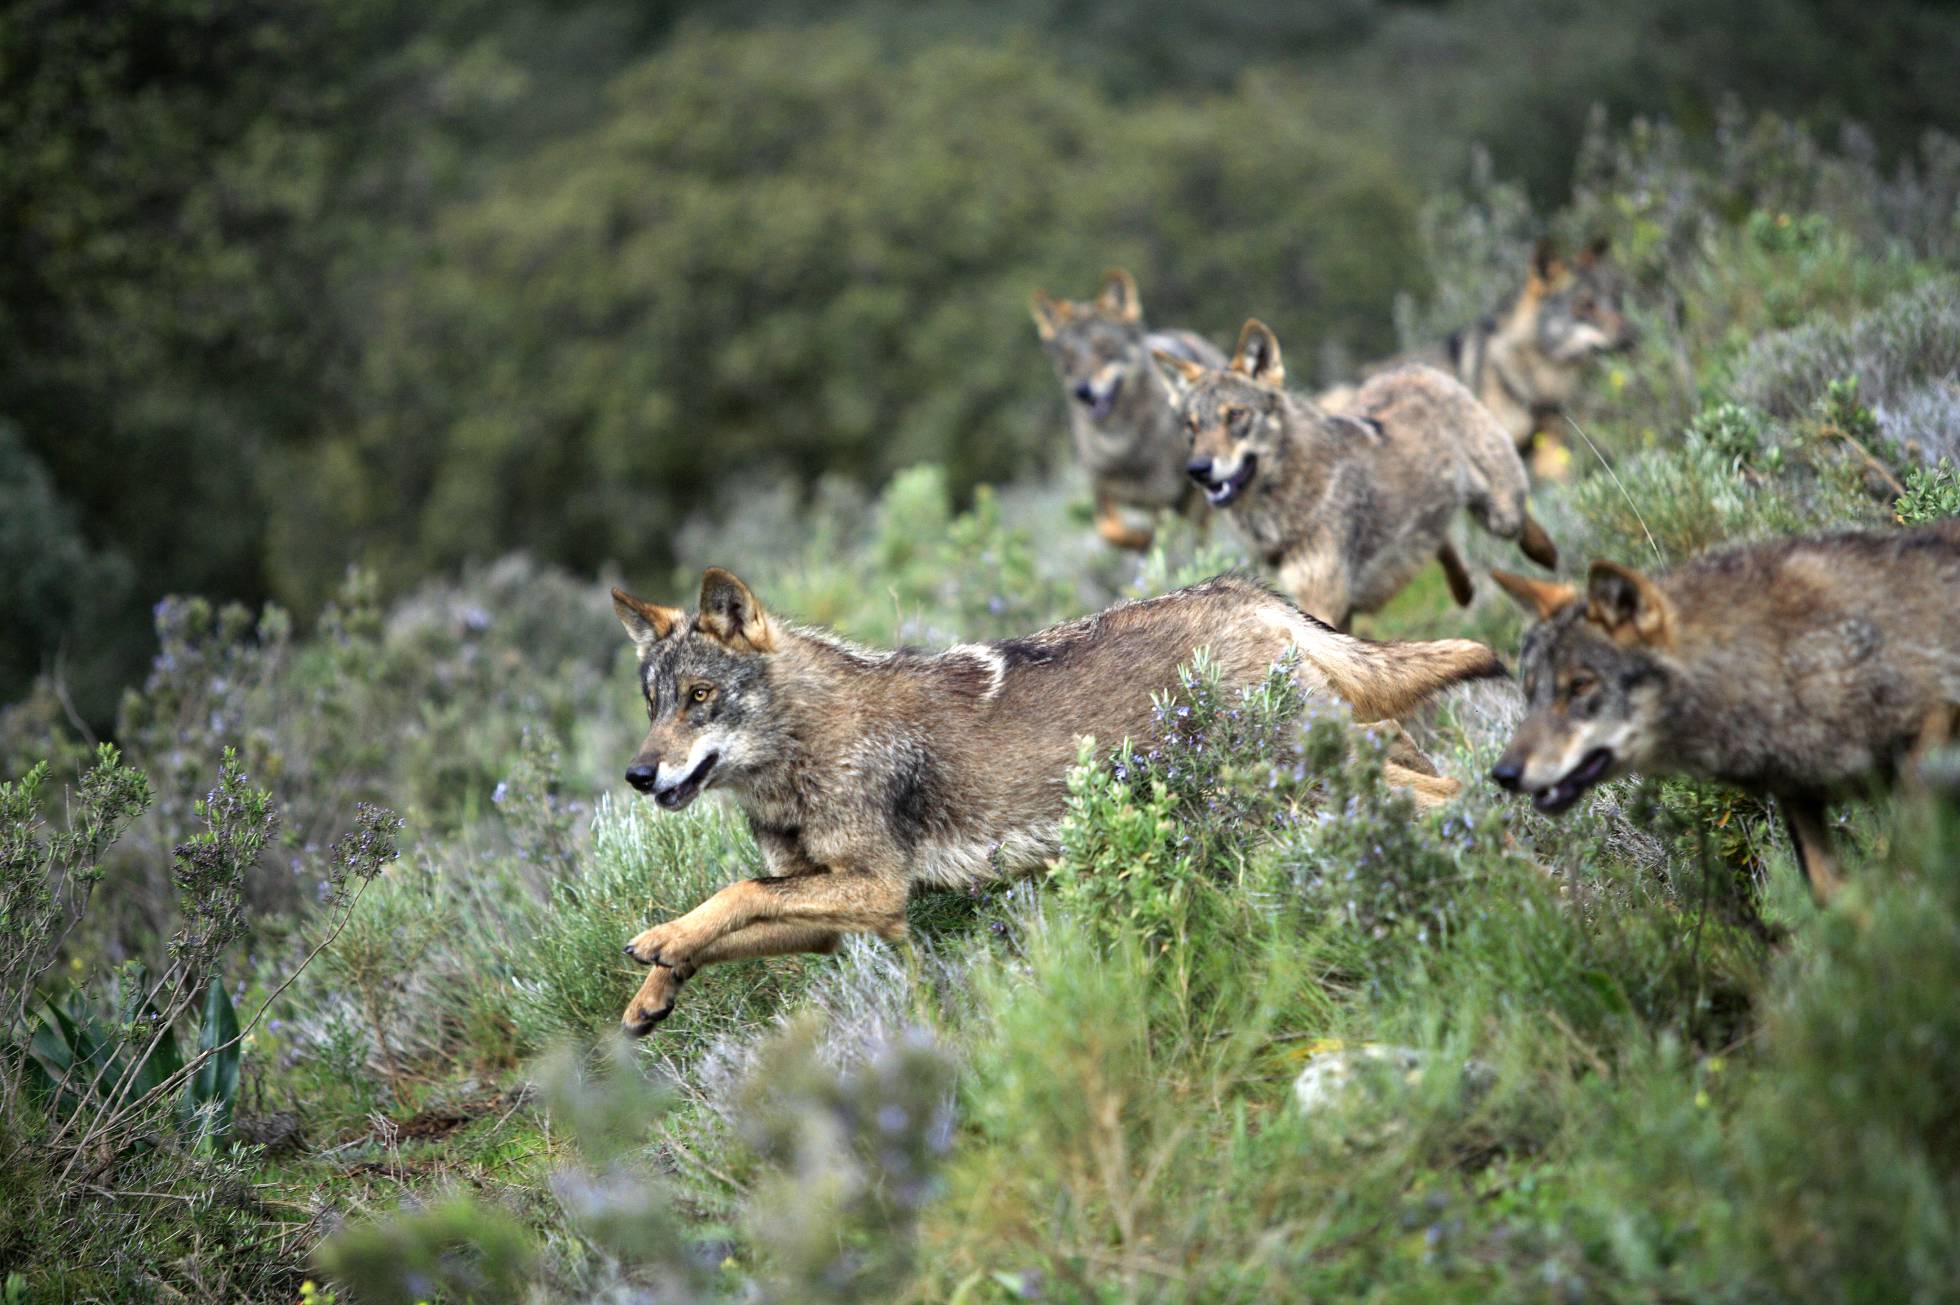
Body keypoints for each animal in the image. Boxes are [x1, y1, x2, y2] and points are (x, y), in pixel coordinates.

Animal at [603, 568, 1489, 1026]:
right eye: (651, 704)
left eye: (700, 697)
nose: (638, 776)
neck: (802, 752)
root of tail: (1247, 591)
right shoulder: (836, 916)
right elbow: (734, 918)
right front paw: (656, 987)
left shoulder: (878, 892)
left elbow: (734, 890)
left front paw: (657, 943)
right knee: (1414, 757)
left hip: (1290, 784)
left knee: (1441, 788)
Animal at [1027, 264, 1223, 548]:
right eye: (1069, 358)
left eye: (1104, 348)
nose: (1082, 391)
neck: (1121, 442)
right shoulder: (1101, 490)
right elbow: (1109, 530)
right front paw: (1141, 540)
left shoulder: (1184, 495)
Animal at [1152, 323, 1552, 630]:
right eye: (1191, 427)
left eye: (1235, 416)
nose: (1197, 469)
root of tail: (1410, 367)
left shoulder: (1322, 604)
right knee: (1441, 542)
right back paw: (1464, 588)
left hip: (1499, 513)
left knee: (1521, 521)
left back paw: (1546, 555)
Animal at [1481, 517, 1960, 893]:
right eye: (1531, 692)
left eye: (1579, 686)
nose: (1503, 774)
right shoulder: (1797, 793)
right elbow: (1833, 894)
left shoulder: (1930, 732)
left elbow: (1911, 864)